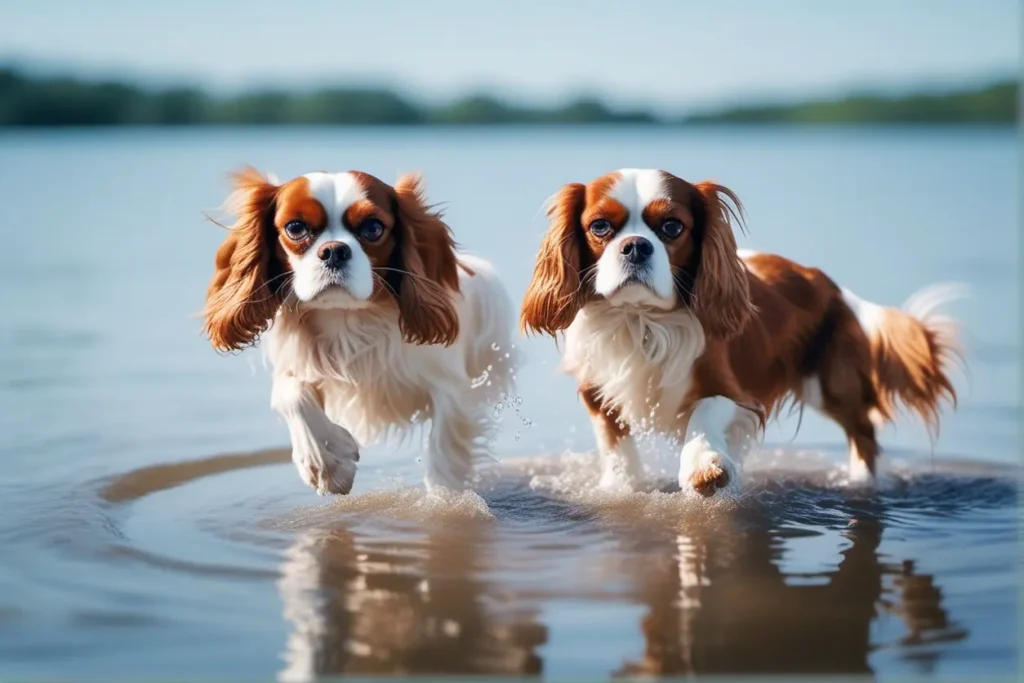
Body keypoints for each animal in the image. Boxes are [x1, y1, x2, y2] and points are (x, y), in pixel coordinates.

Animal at [202, 165, 516, 497]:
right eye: (296, 227)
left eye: (373, 228)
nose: (334, 251)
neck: (347, 317)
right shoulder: (296, 364)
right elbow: (290, 395)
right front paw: (328, 464)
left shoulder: (451, 389)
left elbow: (444, 454)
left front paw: (446, 502)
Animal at [524, 165, 962, 497]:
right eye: (599, 226)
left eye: (672, 227)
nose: (634, 246)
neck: (644, 322)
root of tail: (830, 284)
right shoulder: (598, 390)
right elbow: (615, 444)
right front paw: (621, 486)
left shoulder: (739, 393)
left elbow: (705, 409)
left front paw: (703, 466)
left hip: (829, 384)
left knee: (863, 431)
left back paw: (859, 482)